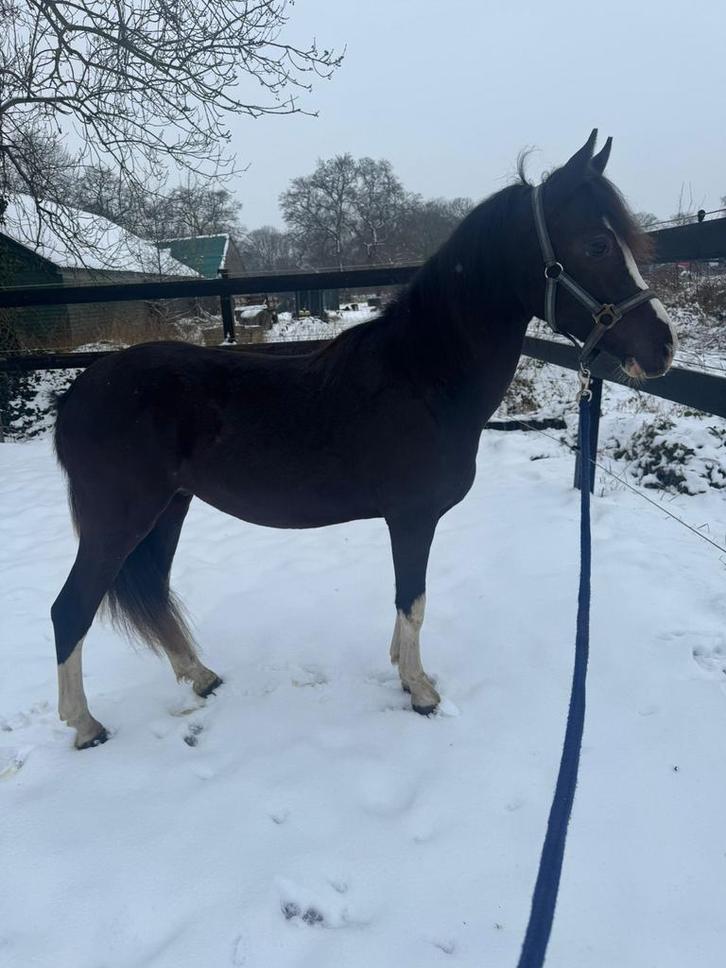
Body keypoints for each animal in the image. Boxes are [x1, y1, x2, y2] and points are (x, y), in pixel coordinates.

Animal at [52, 131, 676, 749]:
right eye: (597, 244)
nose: (662, 347)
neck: (423, 375)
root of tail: (79, 393)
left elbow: (407, 604)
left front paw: (401, 668)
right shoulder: (413, 517)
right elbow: (413, 601)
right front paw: (420, 691)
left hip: (169, 510)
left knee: (153, 590)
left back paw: (201, 678)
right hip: (120, 519)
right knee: (70, 609)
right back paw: (86, 726)